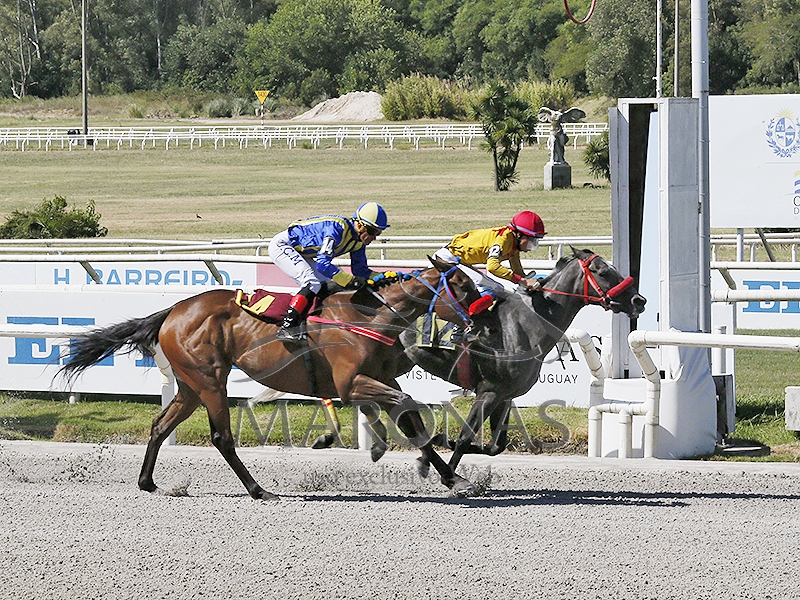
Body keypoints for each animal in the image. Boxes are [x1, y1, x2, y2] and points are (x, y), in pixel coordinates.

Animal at [59, 258, 483, 500]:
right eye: (462, 286)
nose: (481, 315)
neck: (369, 315)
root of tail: (174, 310)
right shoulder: (350, 384)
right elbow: (408, 408)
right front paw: (383, 449)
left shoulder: (383, 380)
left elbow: (410, 420)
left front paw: (454, 478)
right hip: (210, 381)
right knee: (221, 437)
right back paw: (258, 490)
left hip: (190, 385)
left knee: (160, 425)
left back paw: (148, 482)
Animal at [394, 247, 646, 488]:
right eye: (602, 272)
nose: (639, 301)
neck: (527, 323)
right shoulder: (489, 391)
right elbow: (466, 437)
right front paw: (452, 479)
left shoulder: (505, 396)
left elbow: (496, 446)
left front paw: (439, 442)